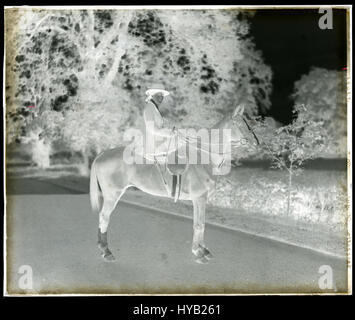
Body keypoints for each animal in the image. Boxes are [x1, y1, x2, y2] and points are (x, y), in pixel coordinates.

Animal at [90, 104, 260, 262]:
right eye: (239, 123)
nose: (256, 142)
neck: (204, 158)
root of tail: (103, 154)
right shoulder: (199, 198)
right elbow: (199, 225)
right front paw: (198, 252)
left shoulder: (201, 199)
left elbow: (201, 224)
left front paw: (202, 249)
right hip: (112, 195)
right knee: (104, 217)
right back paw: (106, 251)